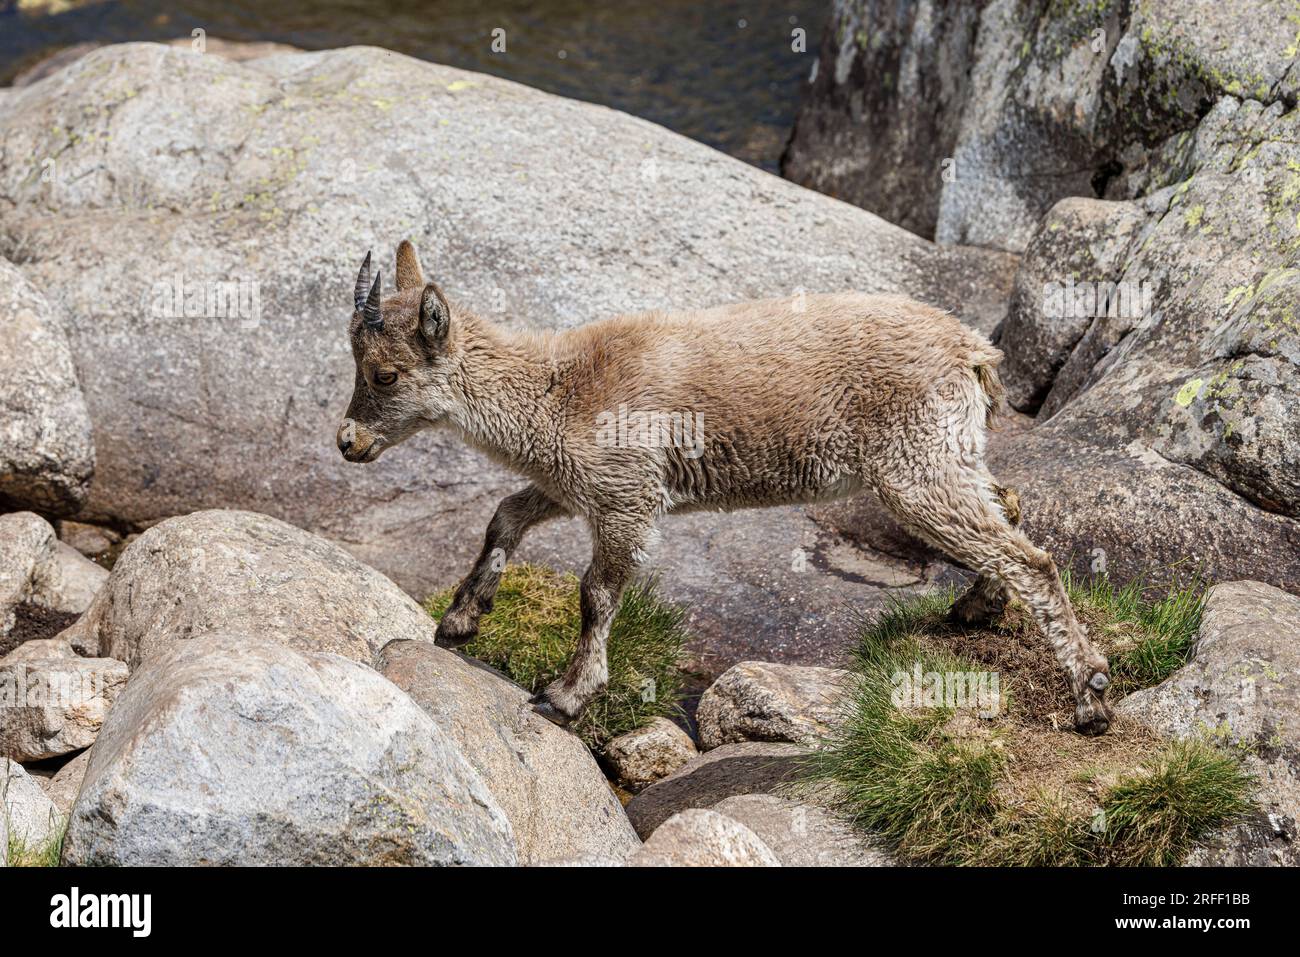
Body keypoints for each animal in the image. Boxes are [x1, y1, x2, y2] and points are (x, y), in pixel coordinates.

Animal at [337, 242, 1113, 735]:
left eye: (385, 373)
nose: (348, 442)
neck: (558, 389)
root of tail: (974, 353)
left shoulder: (627, 497)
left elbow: (595, 593)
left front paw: (566, 695)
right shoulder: (571, 483)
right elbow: (502, 517)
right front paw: (461, 620)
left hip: (913, 471)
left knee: (1032, 557)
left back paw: (1092, 696)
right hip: (949, 456)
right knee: (1008, 508)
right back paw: (977, 609)